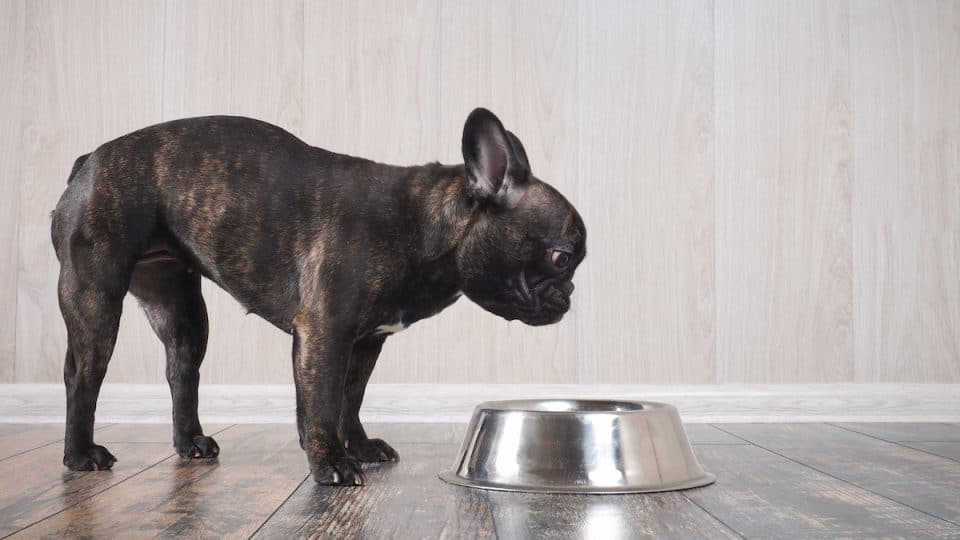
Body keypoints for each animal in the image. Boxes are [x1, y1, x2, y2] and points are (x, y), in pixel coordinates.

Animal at [51, 108, 586, 485]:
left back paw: (190, 442)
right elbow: (323, 398)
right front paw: (330, 461)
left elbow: (351, 396)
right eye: (561, 259)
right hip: (96, 296)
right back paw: (80, 455)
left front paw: (359, 447)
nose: (570, 294)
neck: (423, 226)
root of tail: (87, 162)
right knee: (82, 375)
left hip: (181, 309)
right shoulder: (326, 331)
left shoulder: (366, 341)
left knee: (181, 370)